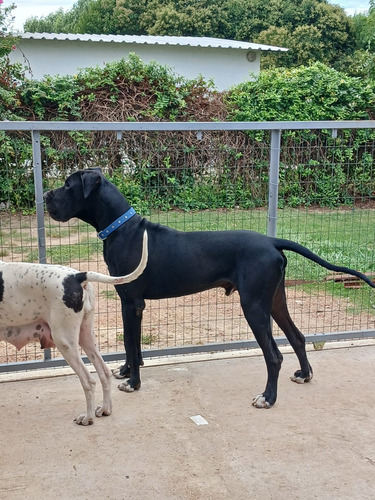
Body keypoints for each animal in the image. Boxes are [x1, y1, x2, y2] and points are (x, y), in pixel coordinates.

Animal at [0, 230, 148, 426]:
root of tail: (77, 276)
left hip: (65, 341)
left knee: (89, 381)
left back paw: (88, 417)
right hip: (86, 337)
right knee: (104, 372)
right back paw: (105, 409)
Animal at [44, 170, 375, 408]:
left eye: (67, 184)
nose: (46, 195)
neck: (122, 229)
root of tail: (272, 241)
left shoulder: (132, 302)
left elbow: (130, 341)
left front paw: (133, 382)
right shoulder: (131, 303)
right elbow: (132, 345)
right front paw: (126, 370)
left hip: (254, 305)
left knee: (274, 356)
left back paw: (268, 398)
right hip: (275, 300)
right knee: (298, 337)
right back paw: (304, 375)